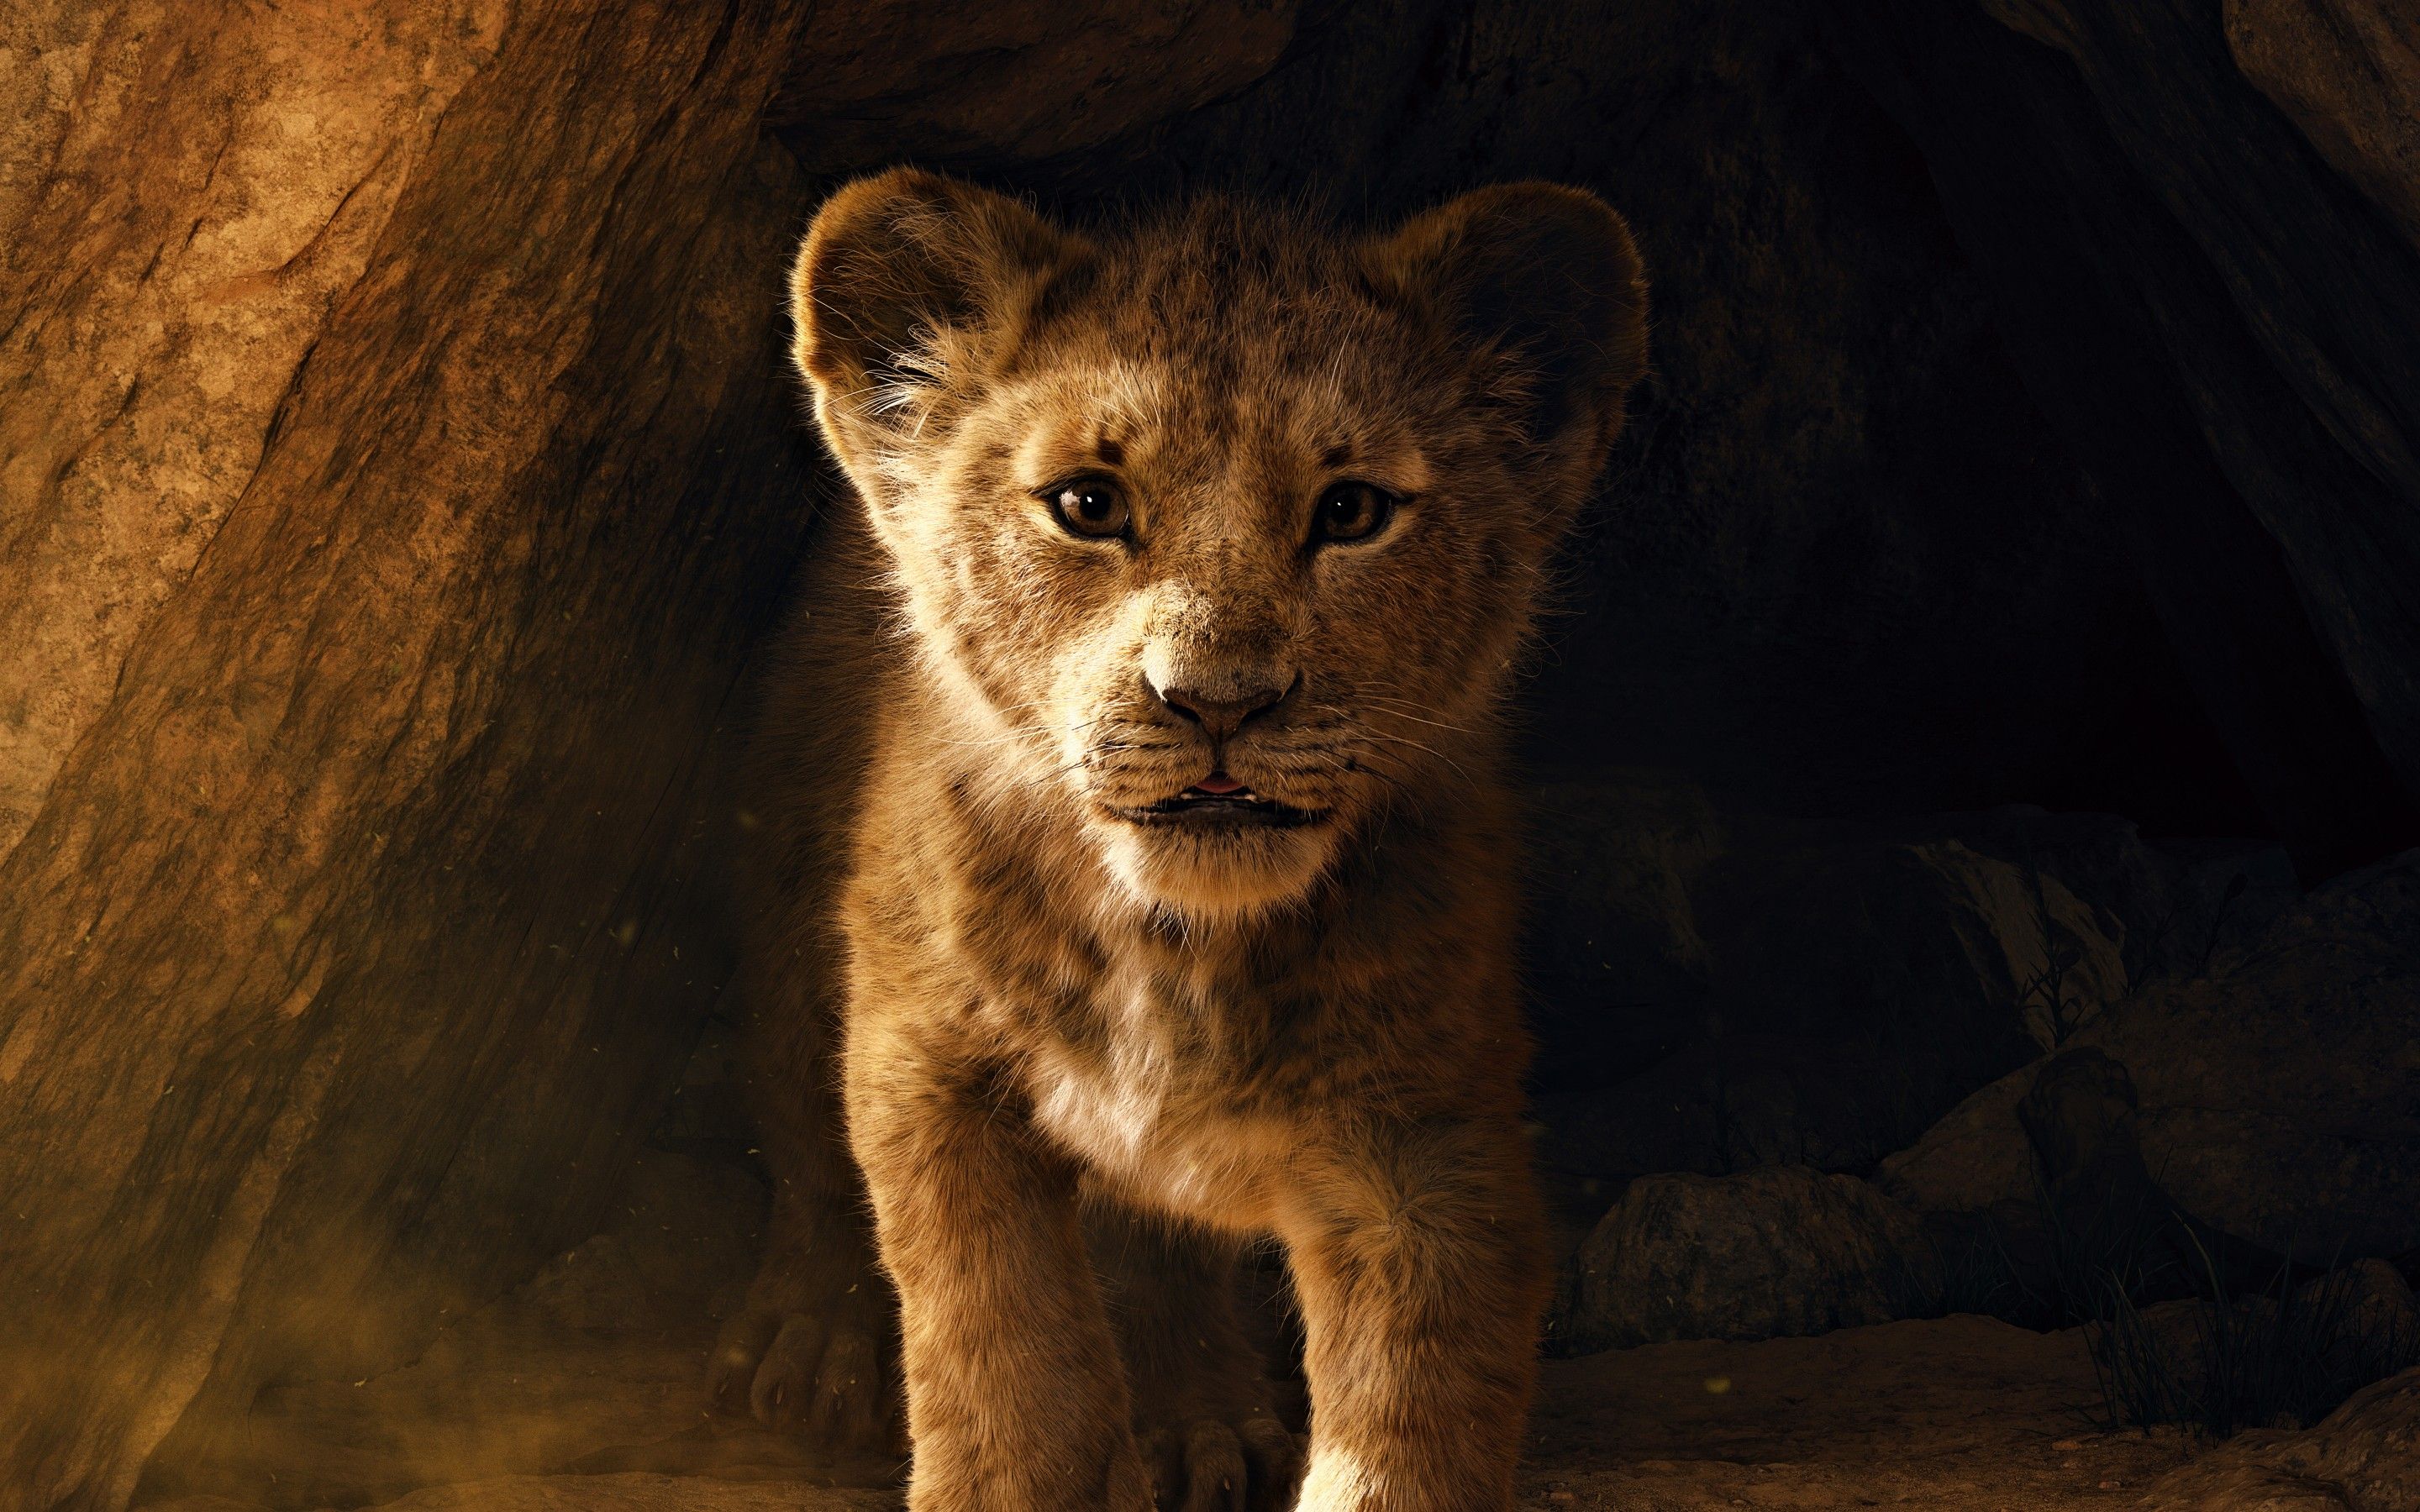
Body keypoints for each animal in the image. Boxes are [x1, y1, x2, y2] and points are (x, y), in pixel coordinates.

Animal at [711, 168, 1649, 1511]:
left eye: (1352, 511)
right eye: (1088, 506)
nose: (1217, 701)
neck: (1175, 943)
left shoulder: (1428, 1141)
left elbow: (1406, 1422)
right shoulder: (929, 1065)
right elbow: (996, 1352)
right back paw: (815, 1347)